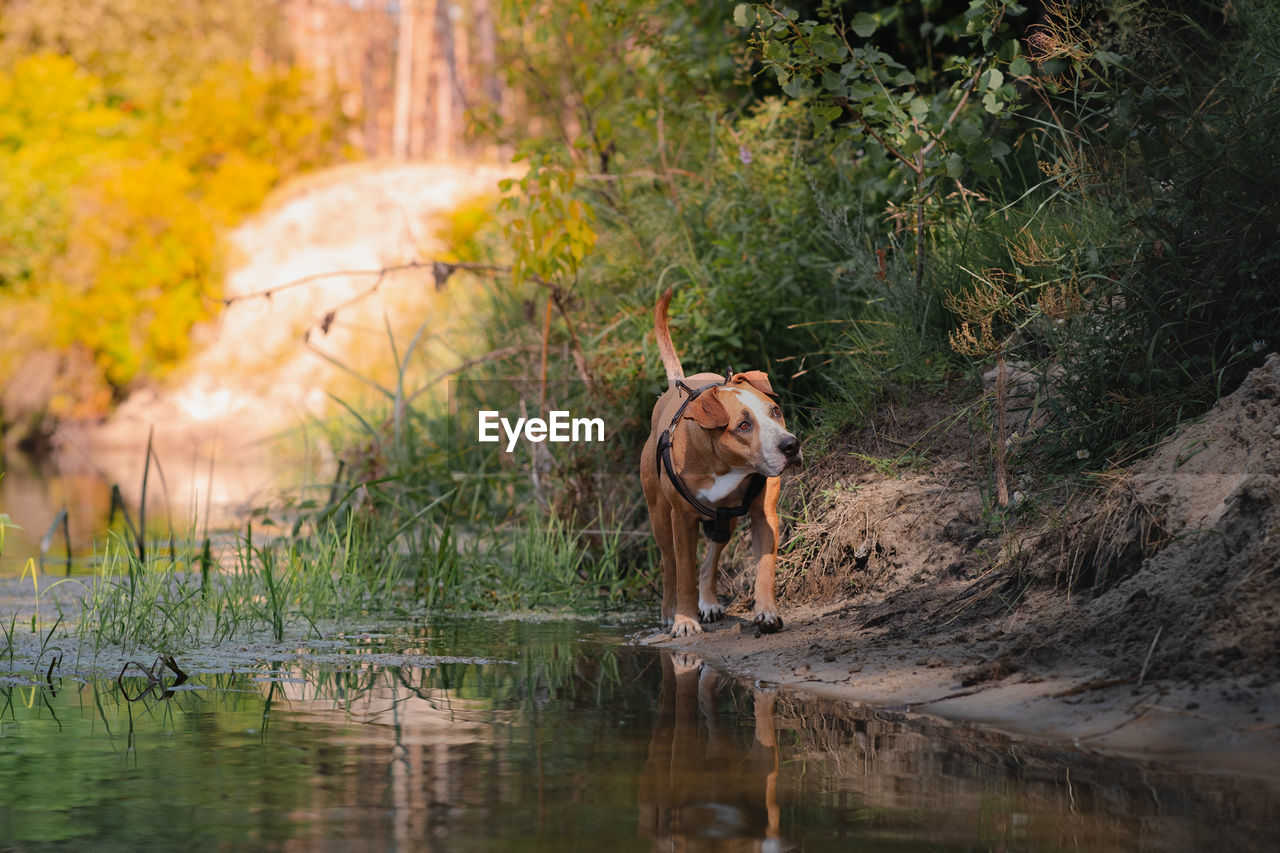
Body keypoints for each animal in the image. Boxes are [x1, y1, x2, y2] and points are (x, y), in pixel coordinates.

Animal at [640, 289, 798, 635]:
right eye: (744, 425)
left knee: (711, 558)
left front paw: (767, 612)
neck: (725, 466)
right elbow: (684, 572)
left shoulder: (764, 514)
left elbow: (765, 566)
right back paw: (669, 612)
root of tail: (677, 385)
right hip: (659, 516)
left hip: (725, 520)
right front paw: (685, 620)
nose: (791, 445)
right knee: (668, 564)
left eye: (775, 411)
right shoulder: (682, 521)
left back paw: (709, 602)